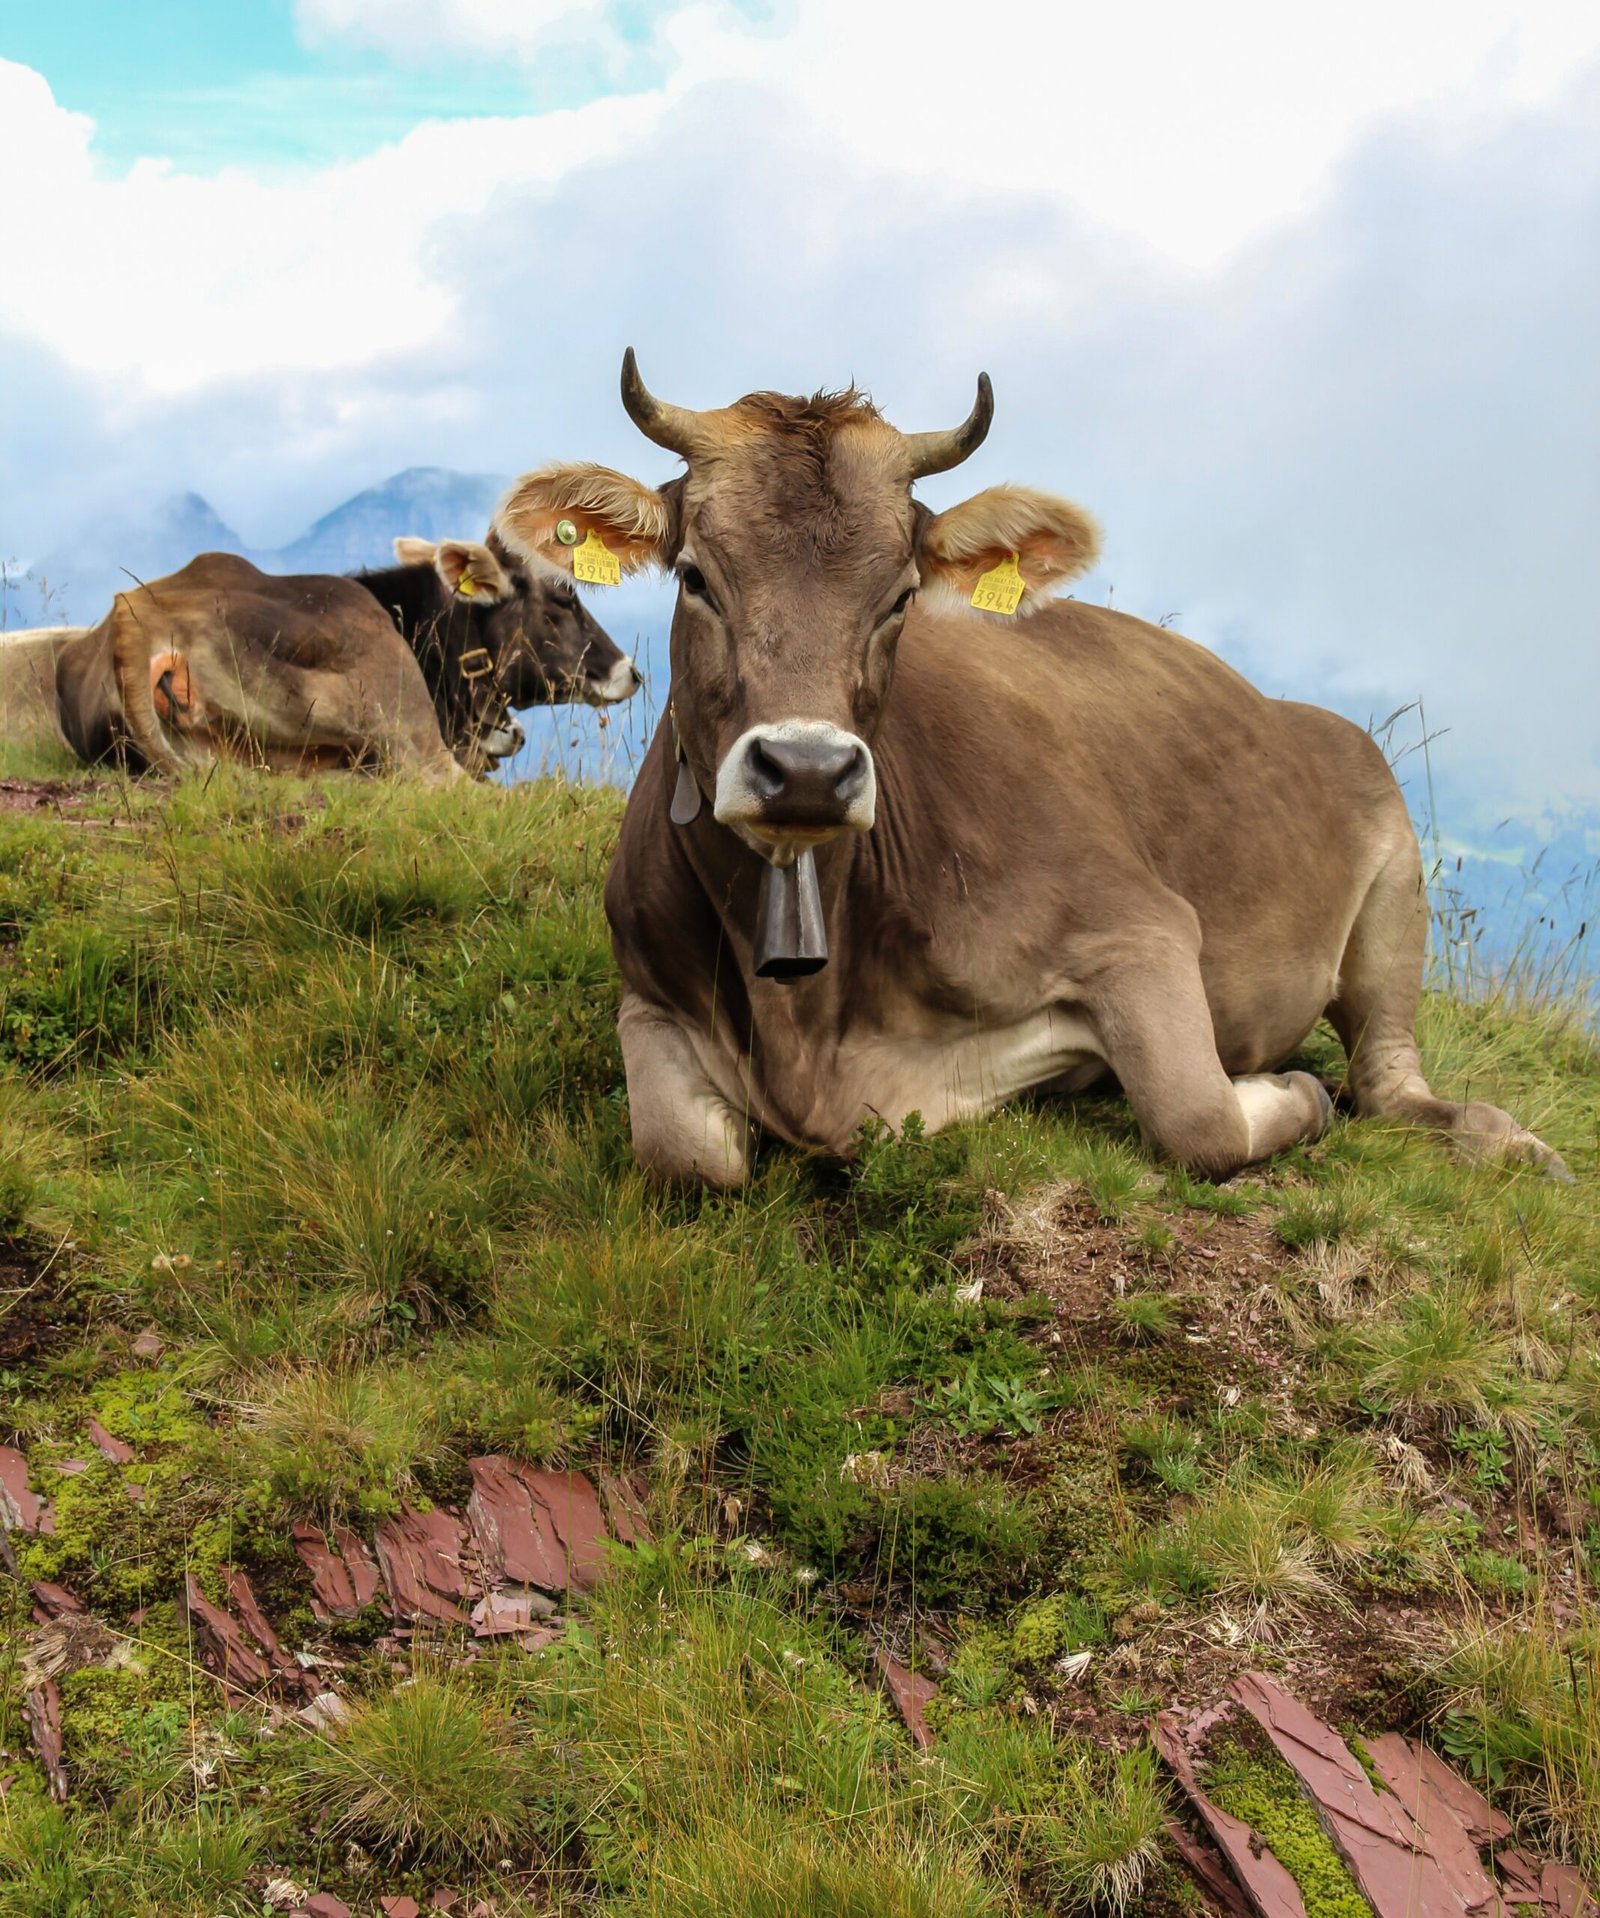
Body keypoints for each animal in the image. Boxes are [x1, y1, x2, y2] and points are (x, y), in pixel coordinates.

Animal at [489, 350, 1568, 1189]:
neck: (805, 1021)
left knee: (1388, 1082)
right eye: (695, 577)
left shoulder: (1140, 927)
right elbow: (685, 1156)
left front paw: (1290, 1091)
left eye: (900, 595)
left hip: (1396, 880)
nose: (804, 771)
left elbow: (1200, 1119)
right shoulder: (648, 992)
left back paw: (1505, 1140)